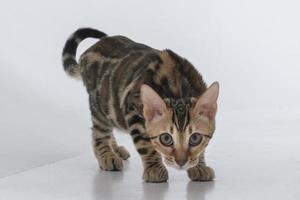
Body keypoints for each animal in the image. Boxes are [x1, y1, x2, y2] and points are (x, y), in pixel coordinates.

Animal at [62, 28, 219, 183]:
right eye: (166, 139)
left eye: (195, 138)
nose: (181, 162)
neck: (179, 89)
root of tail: (88, 52)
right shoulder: (133, 109)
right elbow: (145, 144)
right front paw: (155, 169)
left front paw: (199, 166)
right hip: (99, 105)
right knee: (99, 132)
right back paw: (107, 155)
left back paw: (116, 149)